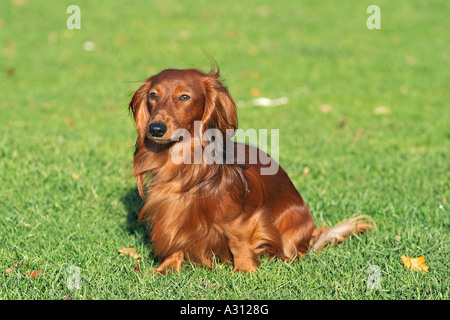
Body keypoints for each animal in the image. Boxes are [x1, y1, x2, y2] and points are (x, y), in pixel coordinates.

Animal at [127, 67, 372, 272]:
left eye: (184, 97)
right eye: (153, 95)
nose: (155, 129)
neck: (185, 165)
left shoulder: (243, 218)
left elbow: (239, 242)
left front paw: (245, 271)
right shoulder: (170, 211)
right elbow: (174, 240)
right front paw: (166, 268)